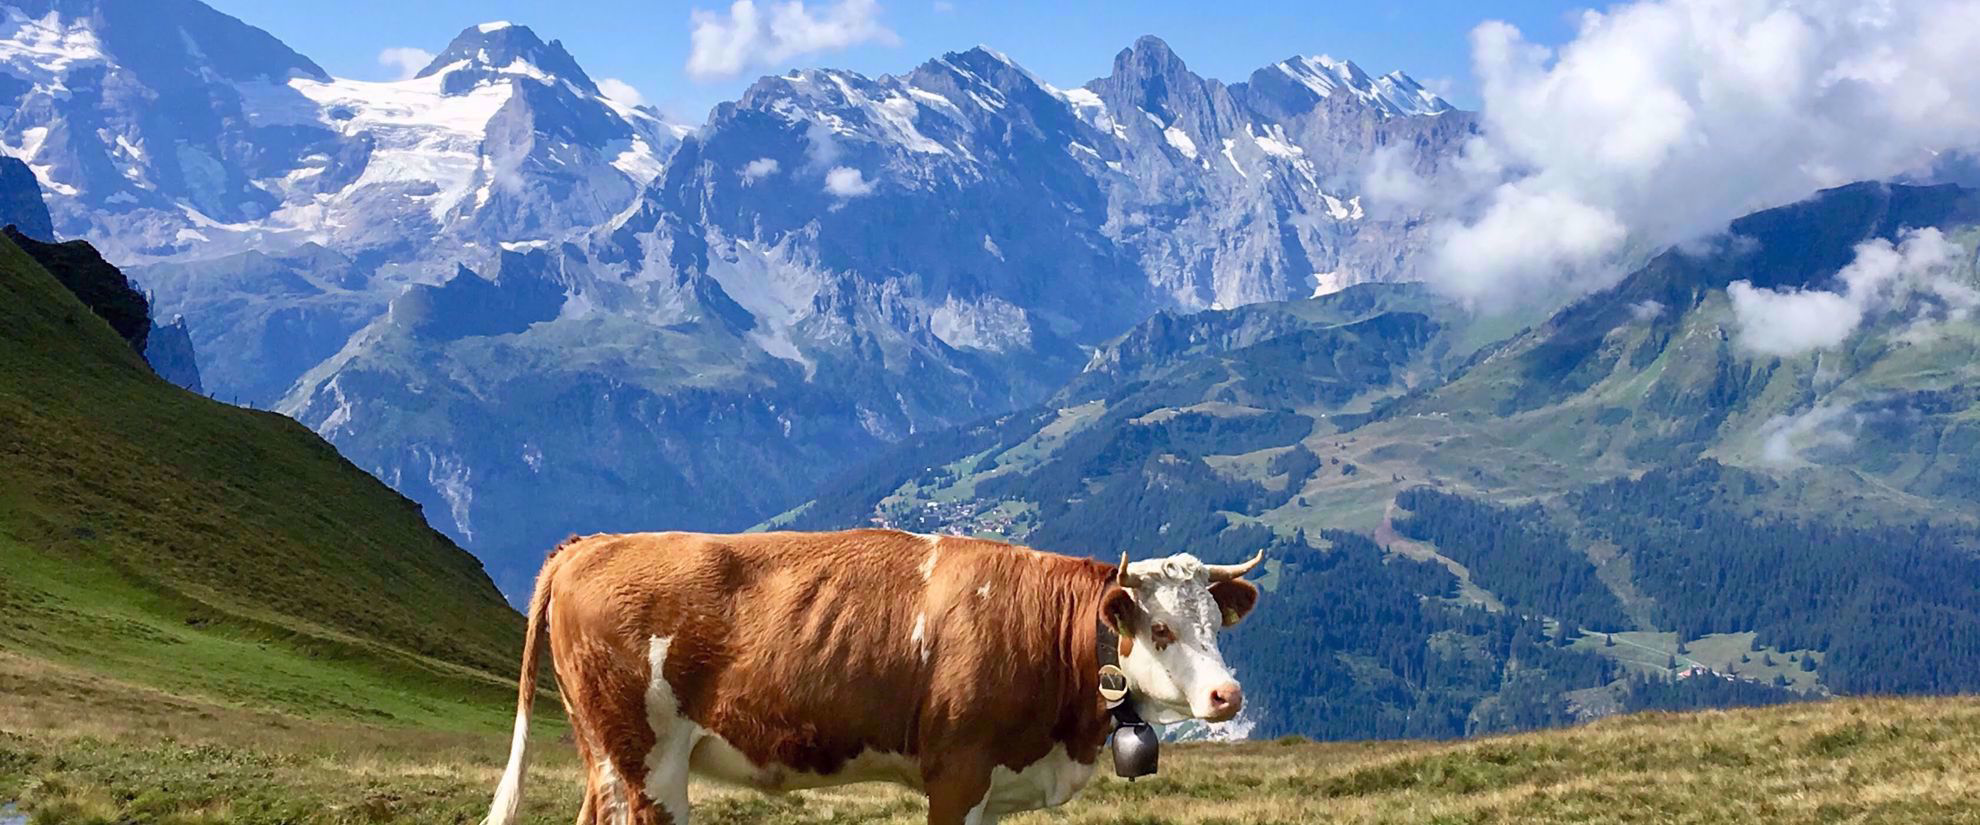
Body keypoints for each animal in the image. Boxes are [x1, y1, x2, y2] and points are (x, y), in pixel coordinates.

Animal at [480, 528, 1265, 825]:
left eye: (1215, 624)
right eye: (1159, 630)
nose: (1227, 694)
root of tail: (591, 543)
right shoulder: (958, 772)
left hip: (608, 758)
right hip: (646, 761)